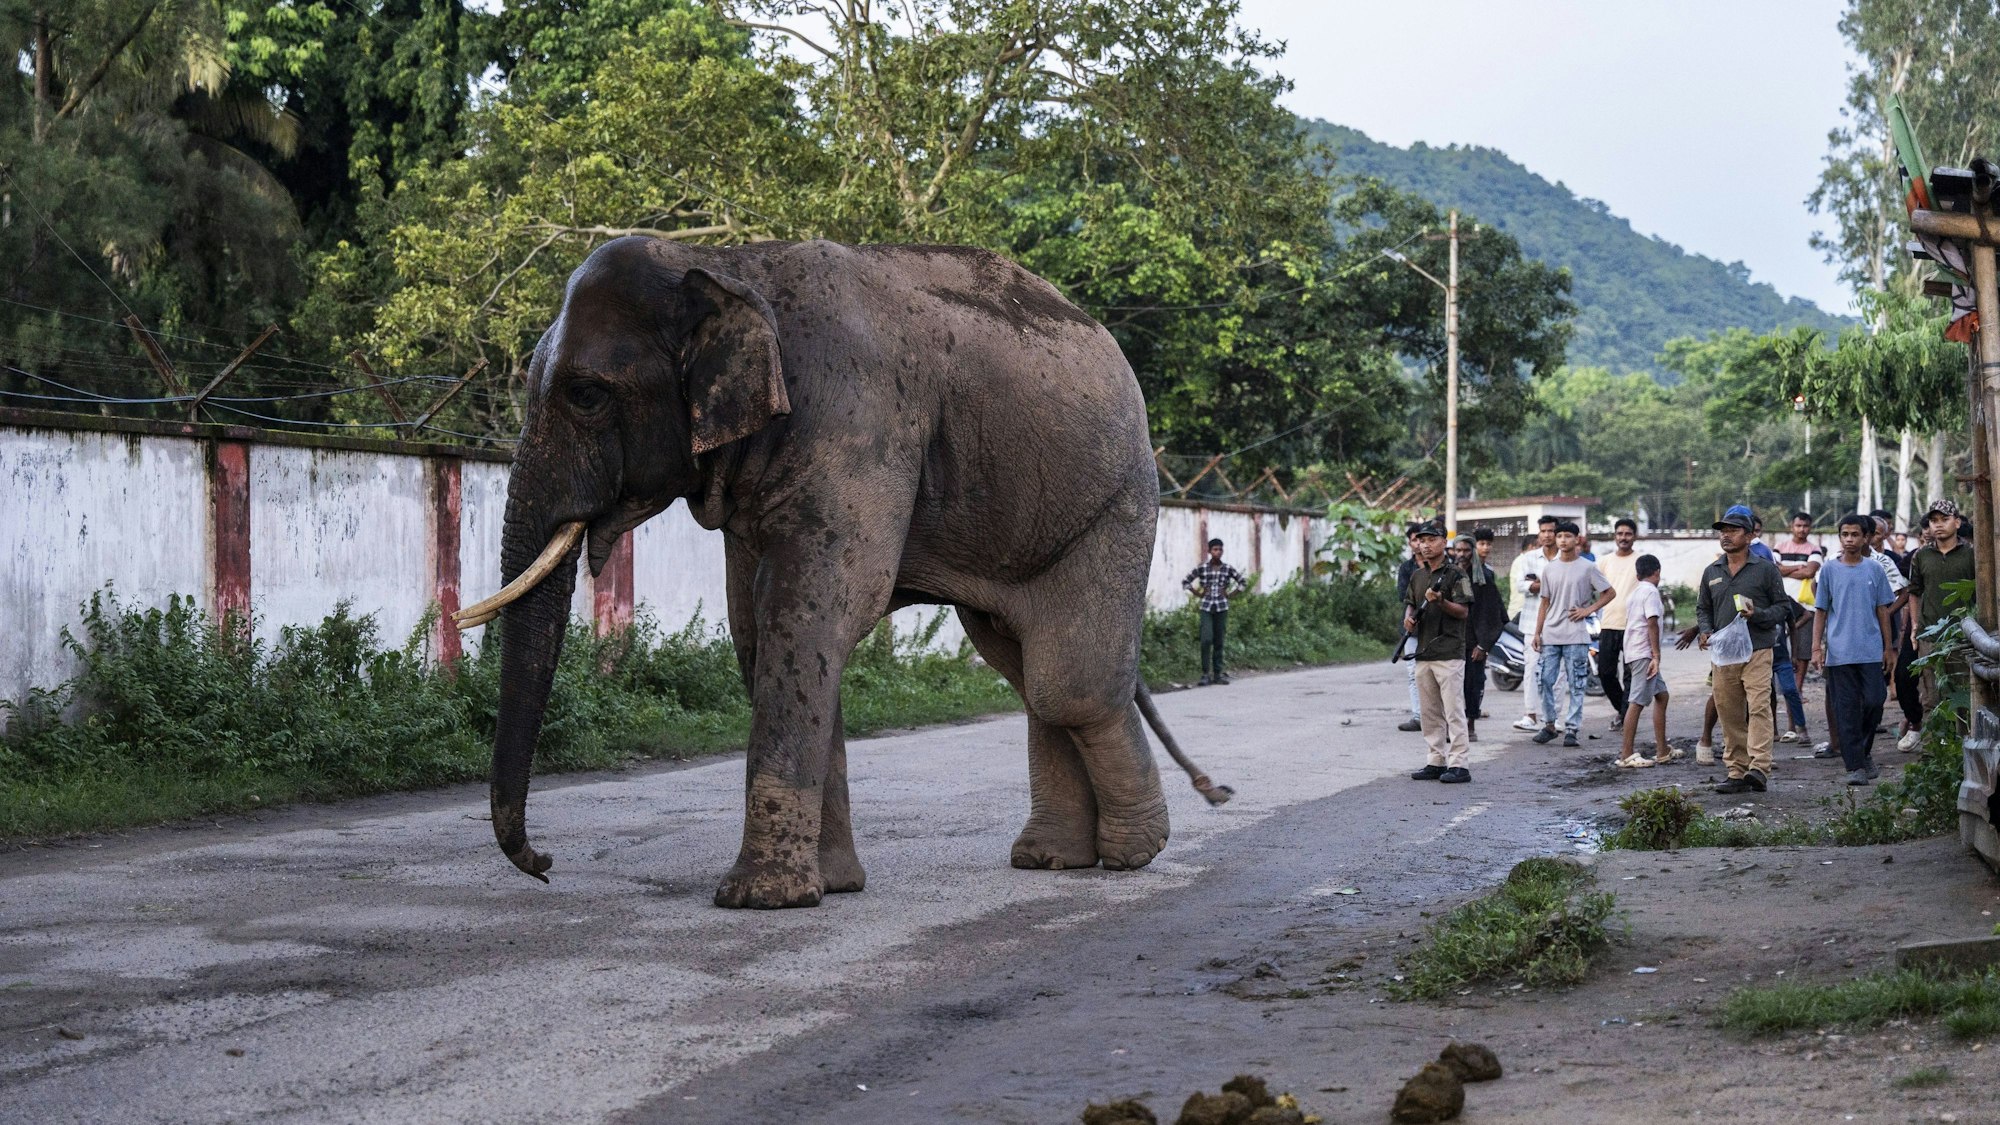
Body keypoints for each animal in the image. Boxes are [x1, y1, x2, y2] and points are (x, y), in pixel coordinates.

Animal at [458, 236, 1229, 909]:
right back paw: (1054, 860)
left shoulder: (857, 420)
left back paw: (1131, 854)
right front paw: (830, 886)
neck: (729, 263)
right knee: (1028, 668)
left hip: (1115, 502)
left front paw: (760, 900)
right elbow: (763, 633)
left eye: (586, 394)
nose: (545, 863)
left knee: (1067, 683)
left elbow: (813, 615)